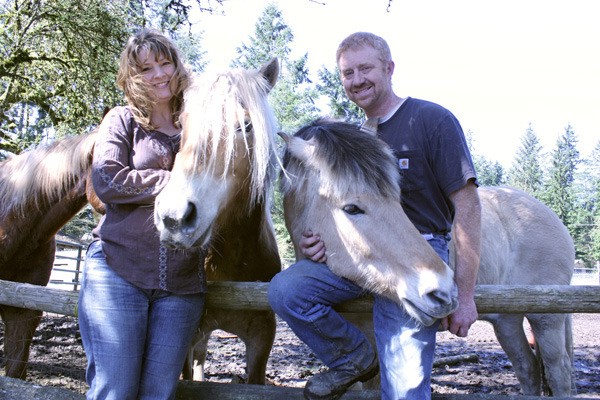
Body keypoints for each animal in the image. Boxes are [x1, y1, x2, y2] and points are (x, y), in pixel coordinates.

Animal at [278, 119, 576, 396]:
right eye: (351, 208)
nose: (443, 293)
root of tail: (552, 218)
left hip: (546, 320)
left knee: (559, 374)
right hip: (508, 322)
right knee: (528, 369)